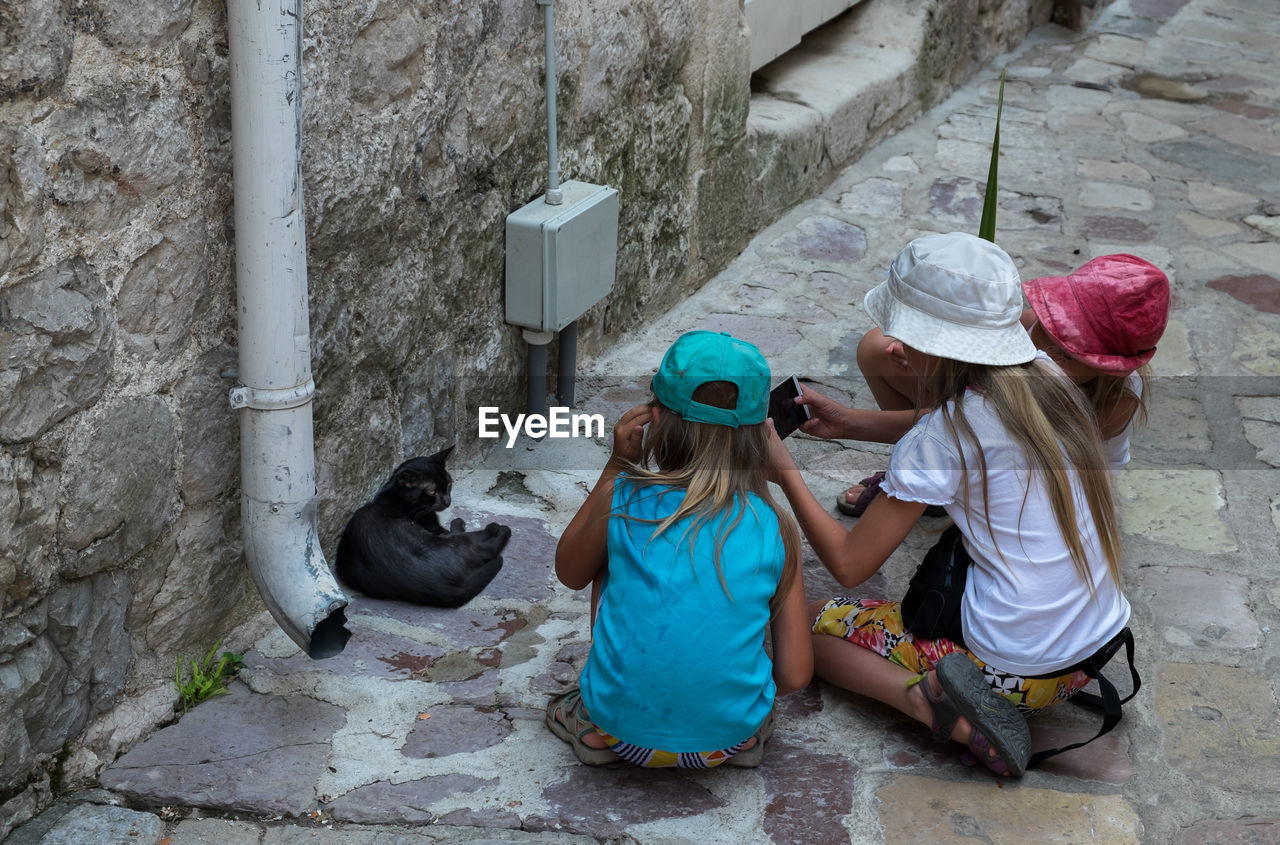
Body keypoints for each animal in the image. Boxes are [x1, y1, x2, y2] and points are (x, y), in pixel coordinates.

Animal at [335, 448, 509, 606]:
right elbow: (450, 531)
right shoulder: (435, 528)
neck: (397, 498)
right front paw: (459, 522)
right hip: (451, 543)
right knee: (482, 547)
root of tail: (440, 588)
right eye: (431, 491)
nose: (447, 501)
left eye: (448, 483)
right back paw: (499, 529)